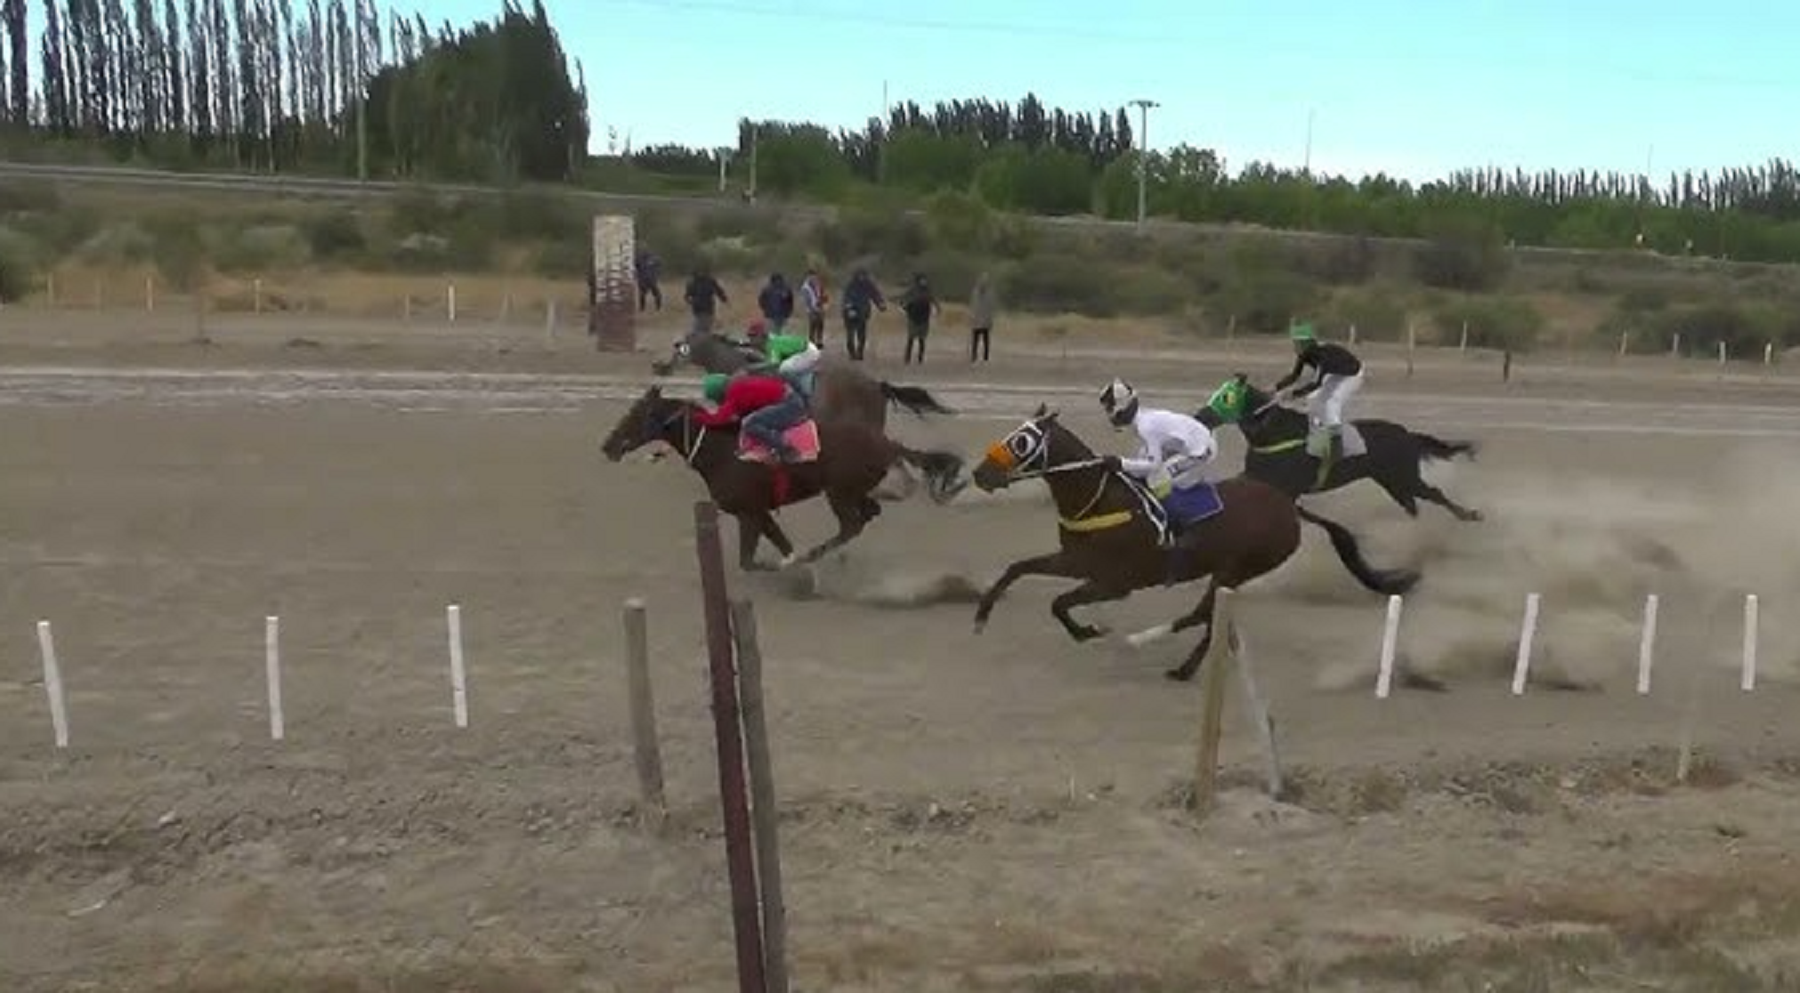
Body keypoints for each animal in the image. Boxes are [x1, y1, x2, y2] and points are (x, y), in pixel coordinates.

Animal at [601, 390, 972, 575]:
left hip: (839, 491)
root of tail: (888, 443)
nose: (607, 446)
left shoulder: (750, 513)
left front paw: (784, 563)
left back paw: (814, 555)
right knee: (868, 514)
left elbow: (750, 561)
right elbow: (774, 544)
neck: (723, 451)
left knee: (852, 524)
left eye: (636, 414)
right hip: (853, 489)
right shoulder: (757, 512)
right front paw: (788, 559)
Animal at [651, 329, 964, 503]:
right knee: (895, 452)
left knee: (894, 452)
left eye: (681, 348)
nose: (659, 366)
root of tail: (876, 385)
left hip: (863, 423)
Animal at [972, 406, 1418, 679]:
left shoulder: (1116, 583)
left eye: (1022, 441)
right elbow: (1021, 571)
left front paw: (1090, 630)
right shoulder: (1077, 561)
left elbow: (1059, 601)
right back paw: (1182, 664)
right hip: (1232, 573)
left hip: (1238, 568)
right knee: (1211, 616)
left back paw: (1152, 646)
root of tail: (1288, 505)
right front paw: (981, 616)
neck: (1100, 499)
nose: (979, 474)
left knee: (1201, 614)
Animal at [1202, 372, 1483, 525]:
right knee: (1412, 505)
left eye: (1226, 397)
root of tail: (1407, 434)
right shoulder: (1259, 479)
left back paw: (1469, 515)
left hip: (1404, 476)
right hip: (1390, 481)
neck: (1274, 434)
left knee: (1434, 494)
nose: (1202, 415)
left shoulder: (1286, 488)